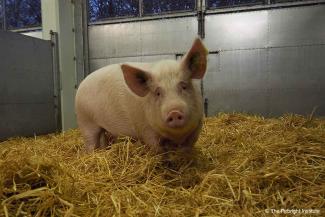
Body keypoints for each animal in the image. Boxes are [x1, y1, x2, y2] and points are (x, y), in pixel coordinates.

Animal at [75, 37, 208, 153]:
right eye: (157, 92)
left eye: (184, 86)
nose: (174, 112)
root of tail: (81, 85)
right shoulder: (146, 129)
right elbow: (157, 148)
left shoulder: (198, 125)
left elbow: (188, 146)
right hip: (85, 121)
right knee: (91, 143)